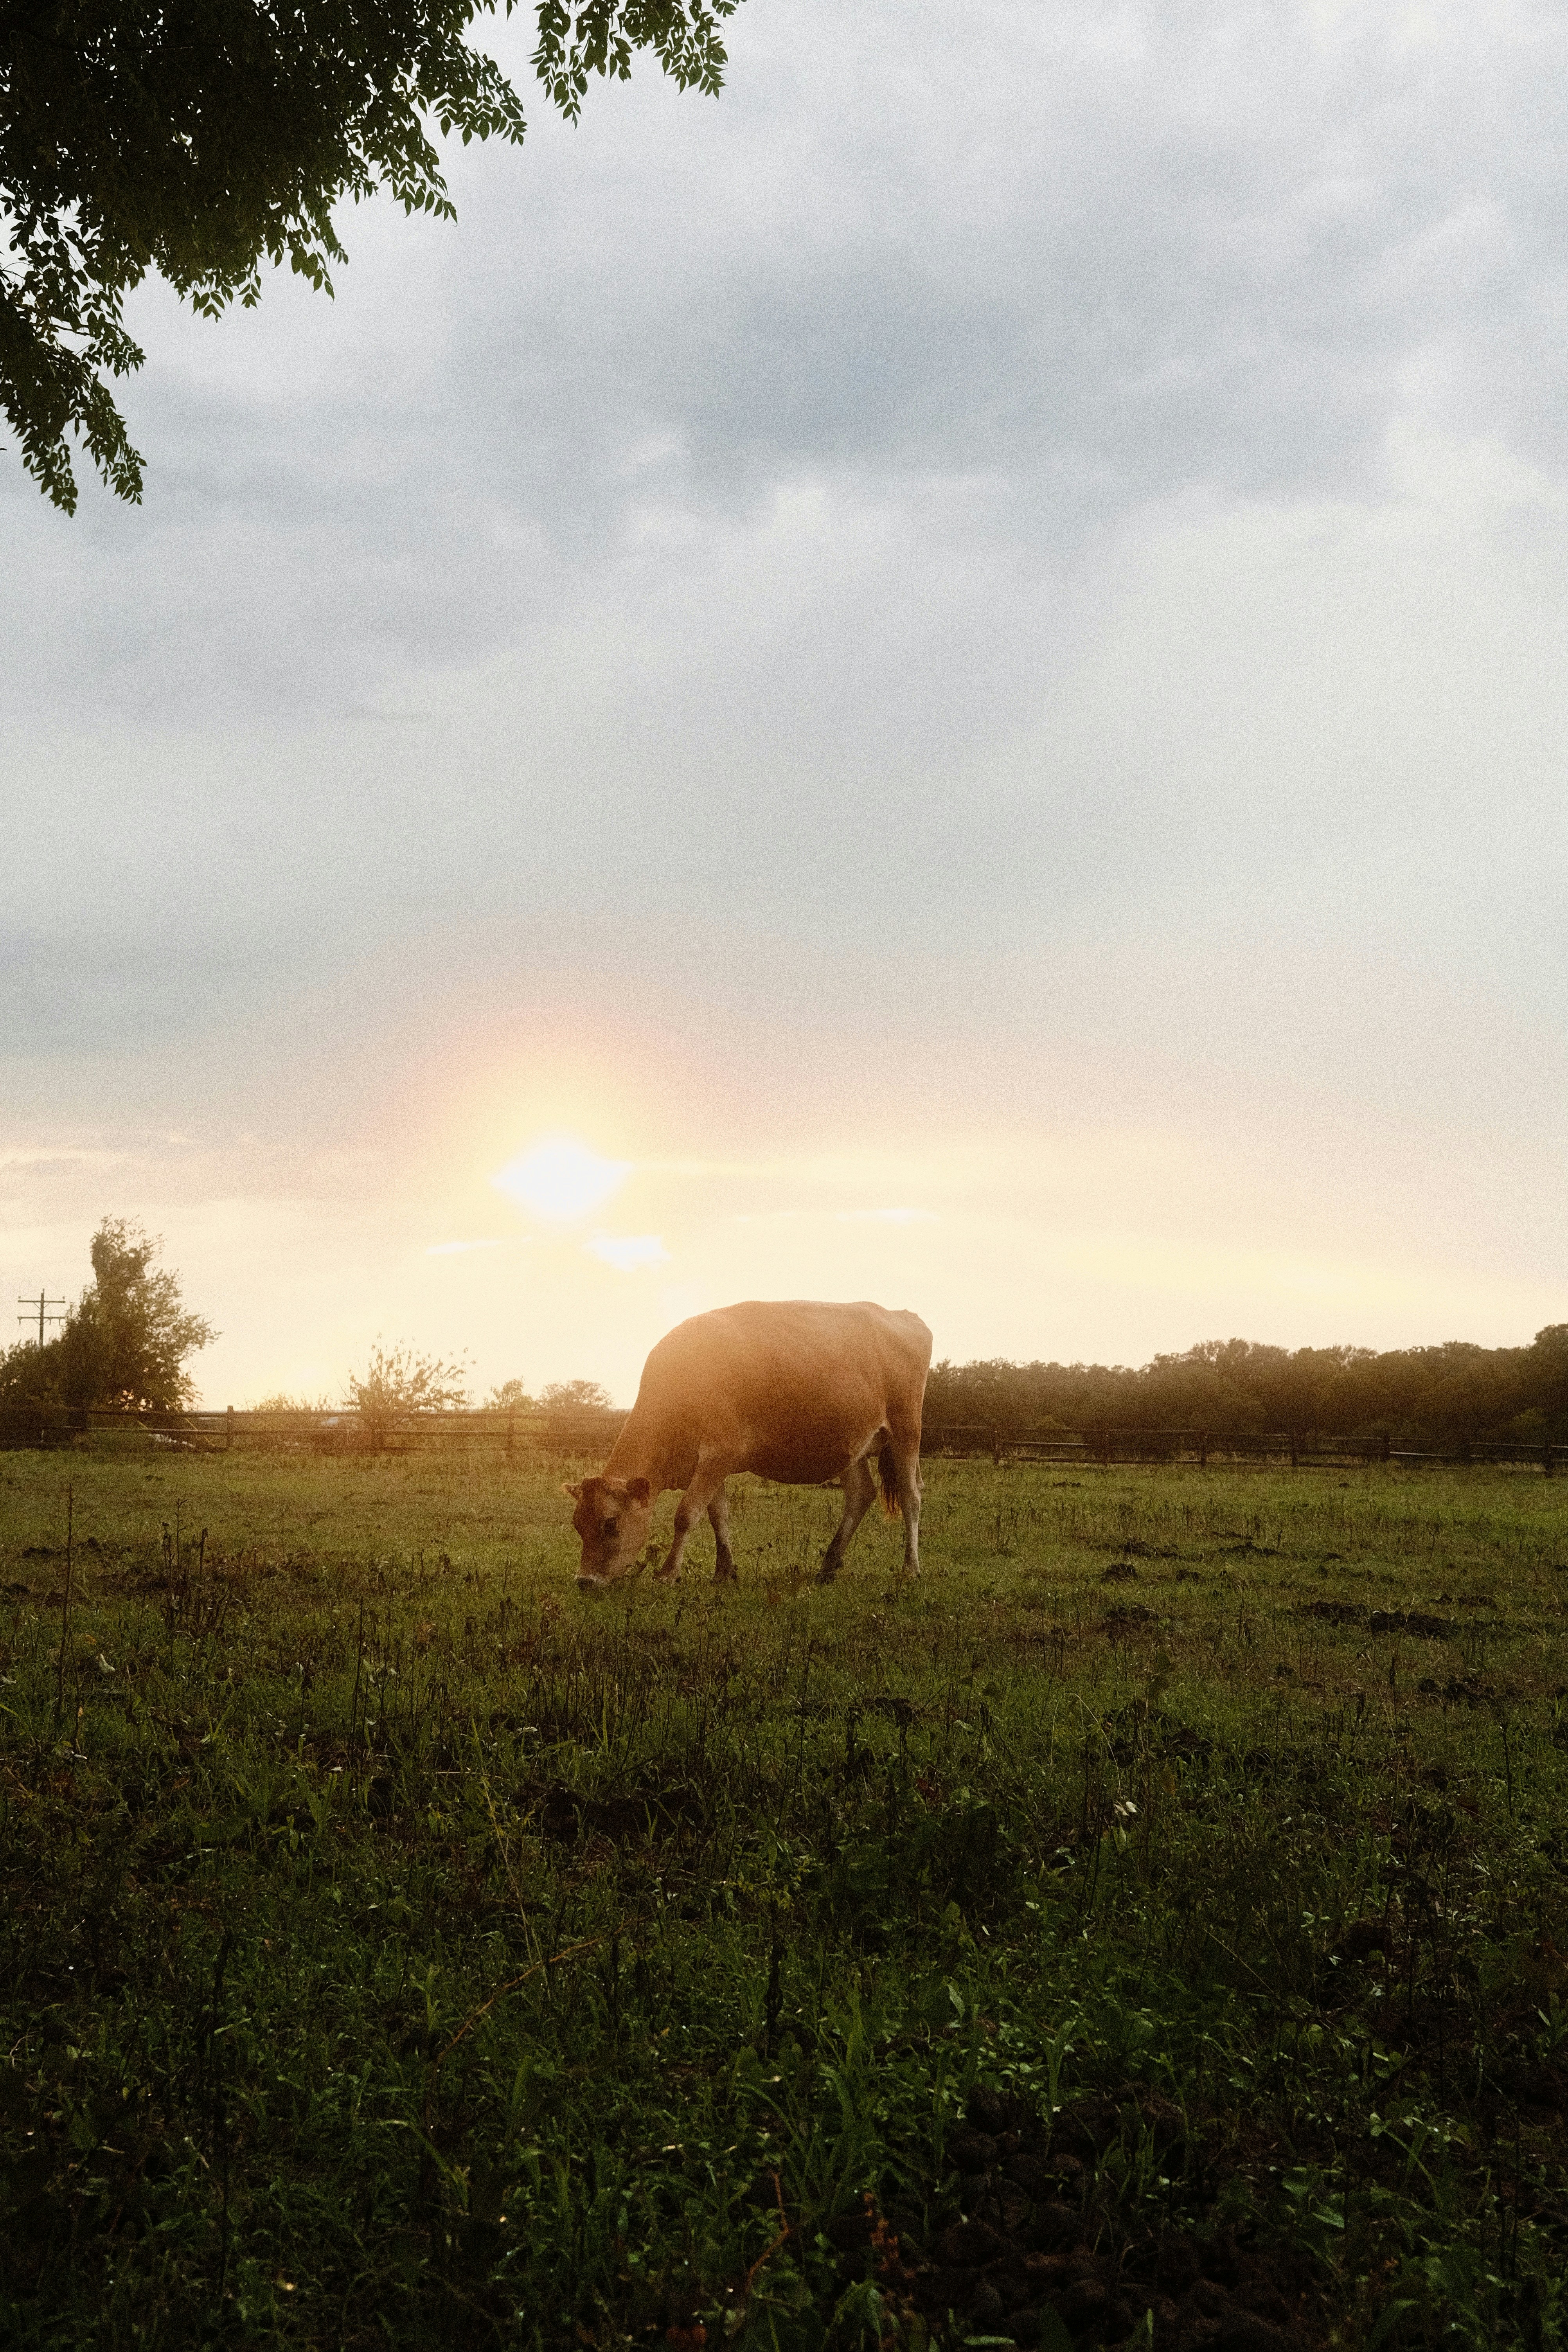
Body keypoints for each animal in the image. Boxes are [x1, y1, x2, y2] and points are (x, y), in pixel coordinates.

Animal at [565, 1299, 932, 1592]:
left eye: (611, 1524)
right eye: (577, 1525)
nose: (585, 1581)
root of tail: (903, 1316)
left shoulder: (719, 1454)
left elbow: (686, 1514)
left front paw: (667, 1574)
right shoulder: (710, 1463)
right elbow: (719, 1516)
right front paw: (724, 1571)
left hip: (906, 1430)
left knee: (911, 1494)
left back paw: (911, 1568)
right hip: (851, 1444)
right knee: (860, 1495)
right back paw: (828, 1567)